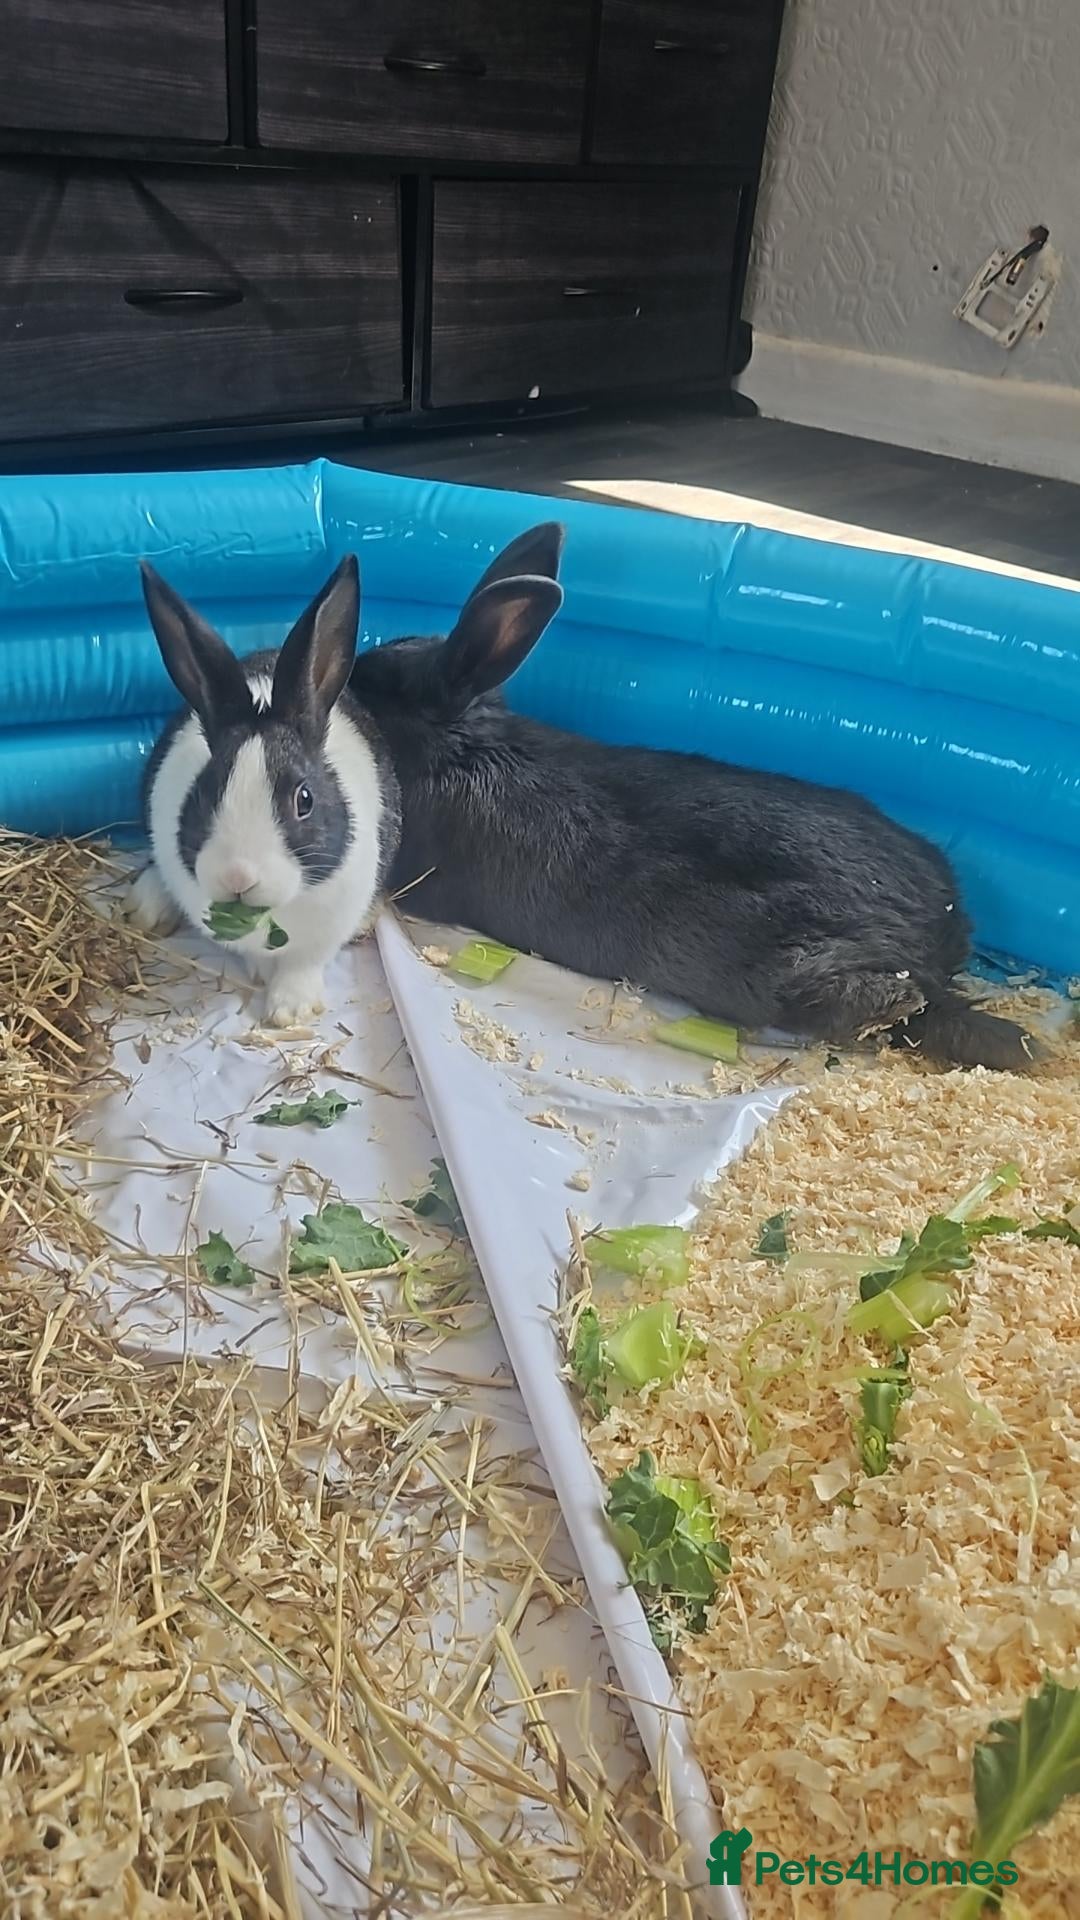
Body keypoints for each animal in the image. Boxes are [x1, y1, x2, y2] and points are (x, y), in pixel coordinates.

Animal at [126, 554, 400, 1028]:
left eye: (304, 800)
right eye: (204, 793)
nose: (238, 877)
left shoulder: (326, 929)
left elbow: (304, 964)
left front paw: (290, 1010)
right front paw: (264, 978)